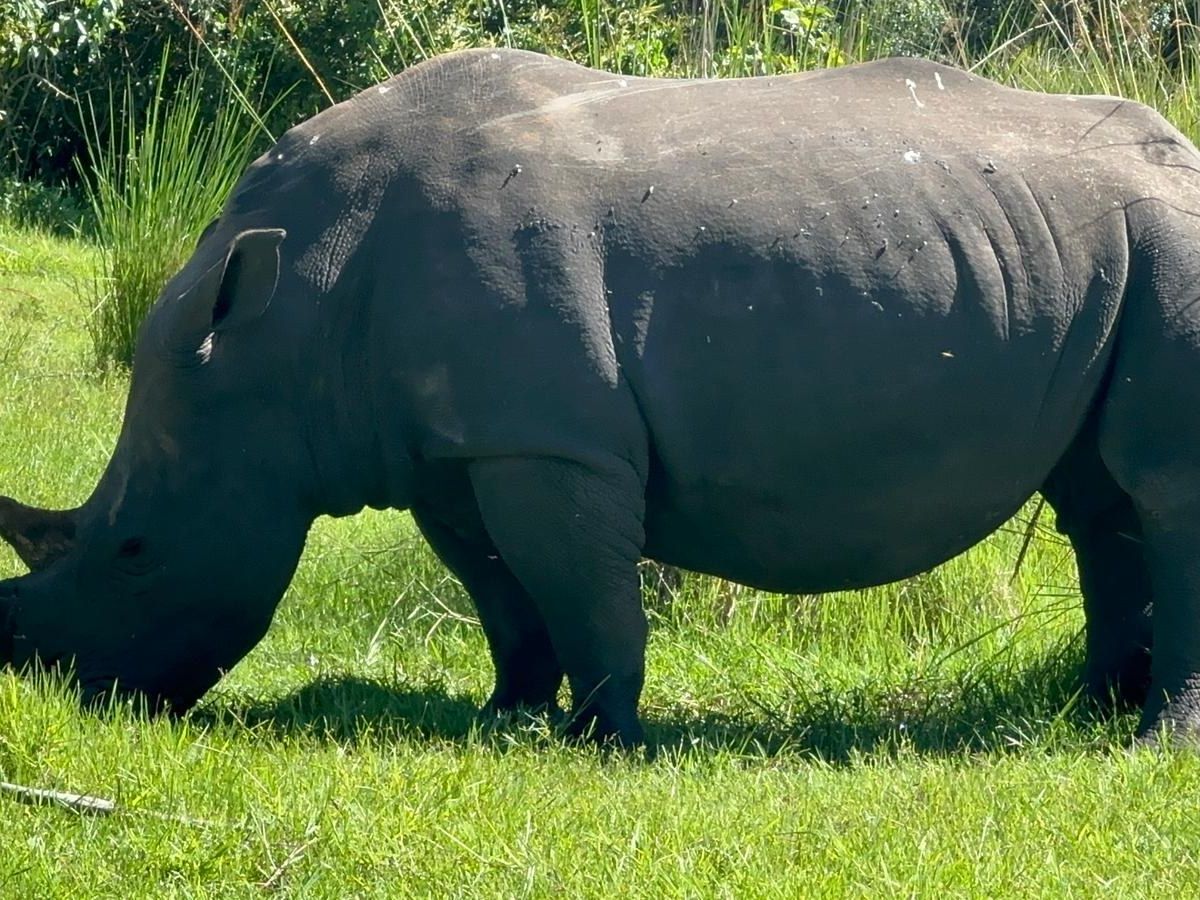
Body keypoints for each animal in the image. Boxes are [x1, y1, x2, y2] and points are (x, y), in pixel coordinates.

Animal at [3, 49, 1200, 747]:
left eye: (134, 552)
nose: (57, 691)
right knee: (1102, 498)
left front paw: (604, 739)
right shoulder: (455, 446)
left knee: (1159, 489)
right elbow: (499, 590)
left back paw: (1153, 740)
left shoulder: (549, 440)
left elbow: (582, 589)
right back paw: (1088, 718)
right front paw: (506, 719)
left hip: (1173, 239)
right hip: (1100, 253)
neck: (290, 320)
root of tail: (1182, 154)